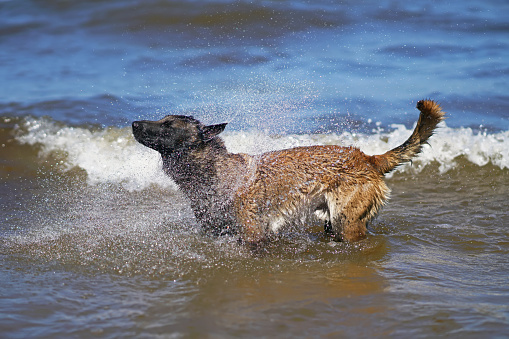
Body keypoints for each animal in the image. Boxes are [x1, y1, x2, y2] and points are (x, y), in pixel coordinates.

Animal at [133, 99, 442, 246]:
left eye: (168, 125)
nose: (134, 123)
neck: (213, 171)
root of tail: (368, 158)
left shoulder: (253, 235)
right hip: (333, 222)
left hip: (346, 222)